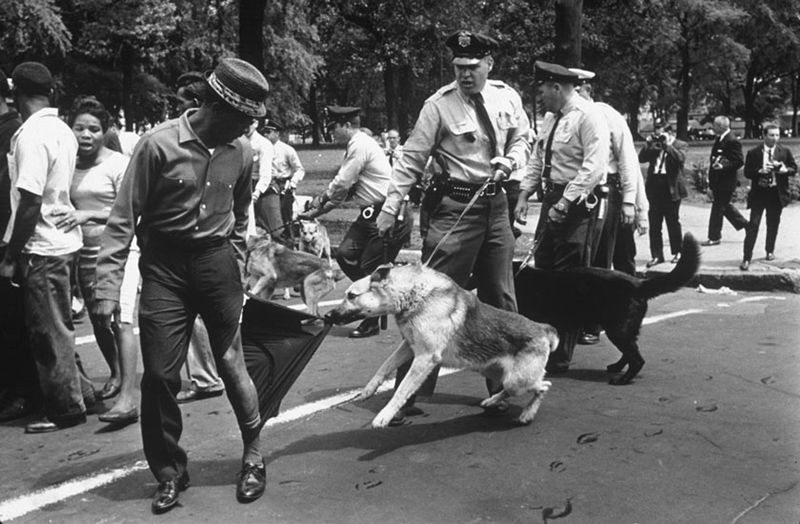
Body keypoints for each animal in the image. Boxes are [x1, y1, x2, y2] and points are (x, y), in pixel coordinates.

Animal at [324, 264, 556, 428]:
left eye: (351, 295)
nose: (327, 316)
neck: (412, 295)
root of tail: (544, 329)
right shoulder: (409, 346)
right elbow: (385, 366)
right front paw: (369, 389)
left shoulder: (425, 358)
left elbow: (402, 389)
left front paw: (385, 415)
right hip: (495, 373)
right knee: (509, 390)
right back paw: (492, 401)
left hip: (517, 380)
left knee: (544, 386)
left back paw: (527, 414)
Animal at [516, 233, 696, 384]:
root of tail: (638, 284)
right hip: (624, 330)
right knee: (630, 353)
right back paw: (617, 367)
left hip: (617, 330)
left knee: (637, 359)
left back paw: (623, 379)